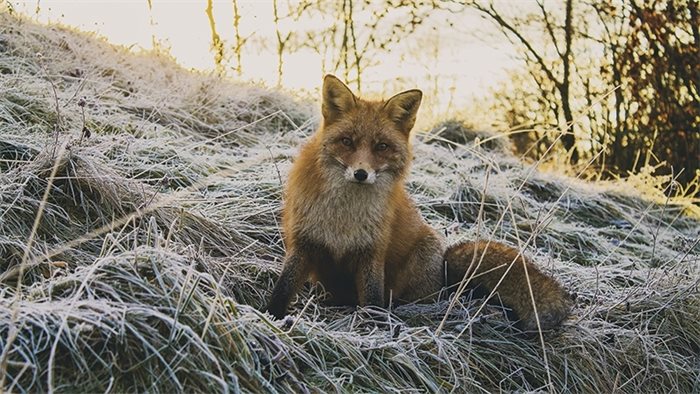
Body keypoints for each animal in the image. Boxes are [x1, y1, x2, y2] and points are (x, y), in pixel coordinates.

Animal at [266, 74, 572, 332]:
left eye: (381, 146)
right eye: (347, 141)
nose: (361, 174)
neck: (344, 215)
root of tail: (444, 276)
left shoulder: (372, 252)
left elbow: (373, 299)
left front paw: (375, 328)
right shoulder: (304, 242)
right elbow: (283, 286)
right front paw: (271, 317)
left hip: (421, 257)